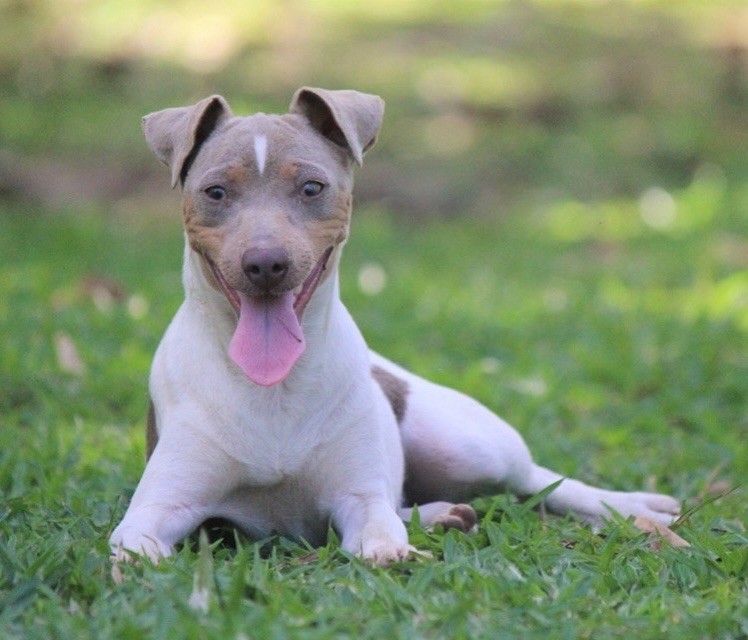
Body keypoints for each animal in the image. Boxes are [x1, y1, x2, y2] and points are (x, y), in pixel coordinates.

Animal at [109, 86, 676, 564]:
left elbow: (378, 533)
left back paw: (634, 509)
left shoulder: (359, 496)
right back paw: (443, 515)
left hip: (468, 446)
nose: (265, 263)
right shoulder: (158, 510)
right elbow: (137, 549)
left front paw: (389, 554)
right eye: (216, 192)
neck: (274, 388)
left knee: (536, 480)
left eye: (312, 187)